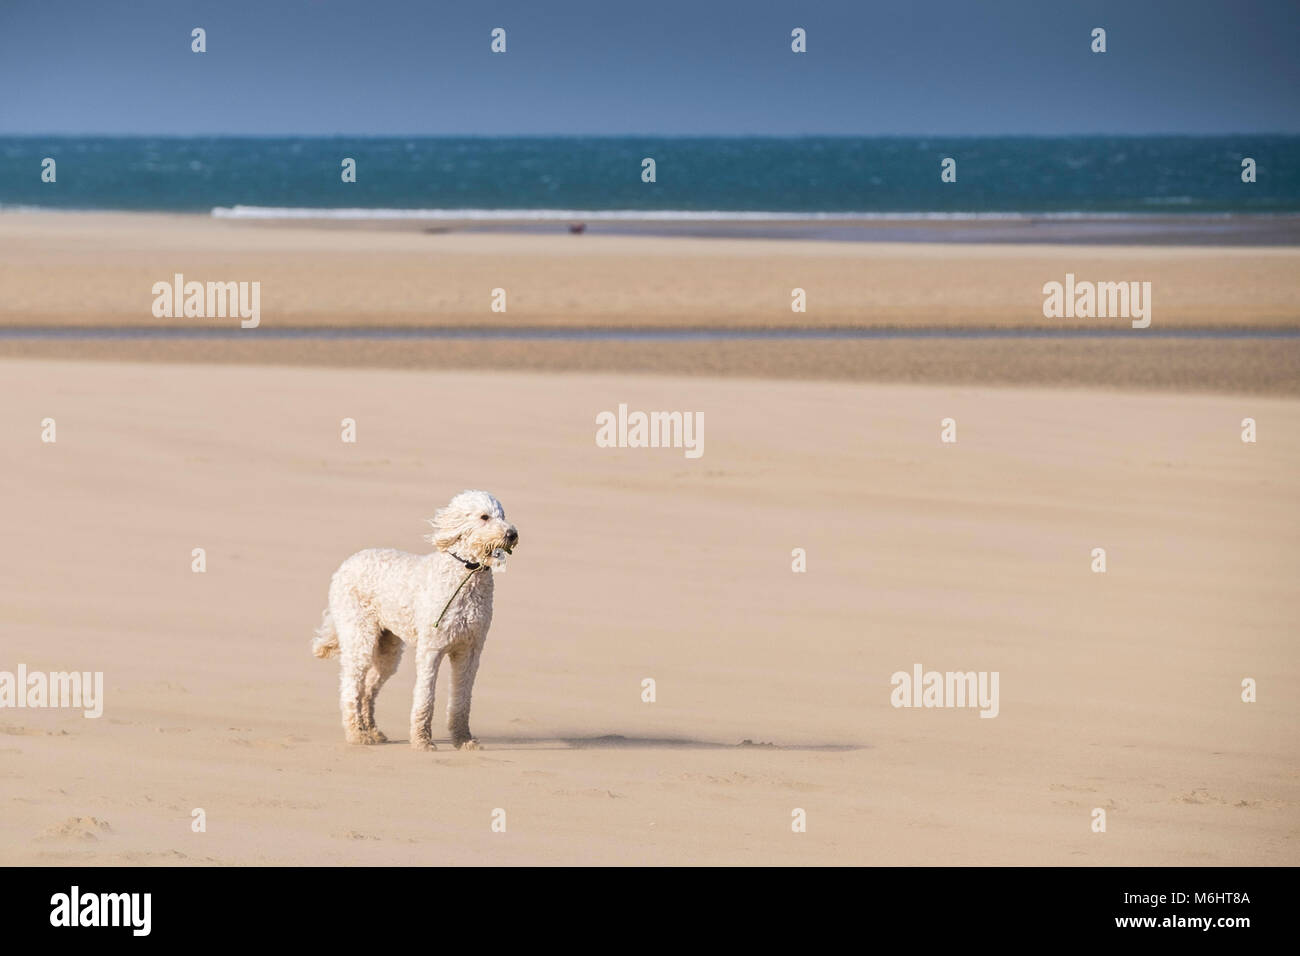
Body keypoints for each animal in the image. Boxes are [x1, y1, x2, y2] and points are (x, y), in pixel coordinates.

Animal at [313, 489, 517, 749]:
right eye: (484, 517)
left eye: (503, 515)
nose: (512, 534)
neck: (465, 572)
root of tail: (345, 565)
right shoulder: (432, 649)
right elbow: (425, 697)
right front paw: (422, 741)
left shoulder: (470, 651)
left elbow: (462, 700)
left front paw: (464, 740)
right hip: (360, 636)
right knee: (351, 688)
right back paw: (357, 734)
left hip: (388, 648)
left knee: (368, 688)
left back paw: (372, 731)